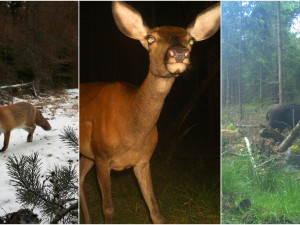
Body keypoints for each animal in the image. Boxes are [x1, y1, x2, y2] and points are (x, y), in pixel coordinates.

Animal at [79, 1, 220, 223]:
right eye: (151, 39)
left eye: (191, 40)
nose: (179, 53)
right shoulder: (102, 155)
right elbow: (108, 208)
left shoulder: (144, 160)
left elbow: (155, 211)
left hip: (88, 153)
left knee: (79, 176)